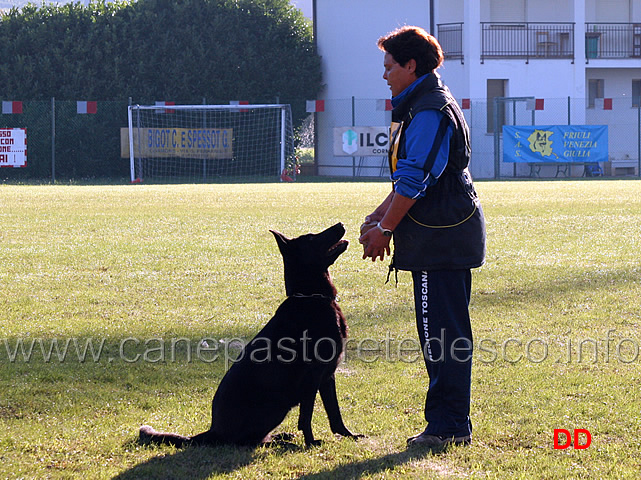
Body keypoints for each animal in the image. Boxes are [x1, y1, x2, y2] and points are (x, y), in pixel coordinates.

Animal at [139, 223, 358, 448]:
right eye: (312, 238)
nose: (340, 224)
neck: (311, 297)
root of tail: (214, 431)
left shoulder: (327, 375)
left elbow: (335, 414)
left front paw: (349, 436)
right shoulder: (312, 376)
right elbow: (306, 416)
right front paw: (311, 442)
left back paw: (281, 437)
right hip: (274, 404)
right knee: (247, 441)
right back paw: (278, 442)